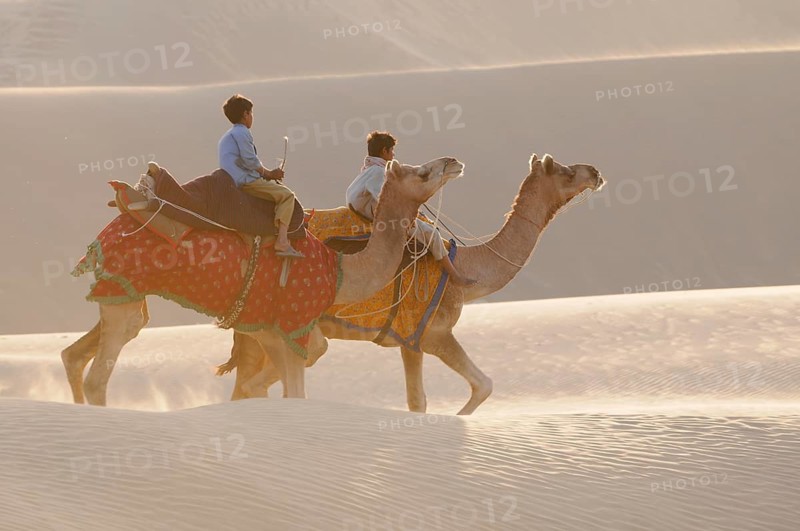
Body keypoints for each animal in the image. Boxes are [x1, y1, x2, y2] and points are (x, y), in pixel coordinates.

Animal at [61, 156, 465, 406]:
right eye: (421, 173)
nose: (452, 161)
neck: (341, 271)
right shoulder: (295, 323)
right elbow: (295, 391)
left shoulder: (269, 328)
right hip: (125, 284)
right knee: (101, 370)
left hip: (124, 288)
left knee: (86, 350)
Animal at [220, 153, 605, 414]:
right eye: (566, 171)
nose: (596, 171)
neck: (469, 271)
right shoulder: (430, 334)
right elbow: (475, 387)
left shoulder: (409, 340)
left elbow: (432, 397)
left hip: (256, 332)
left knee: (248, 384)